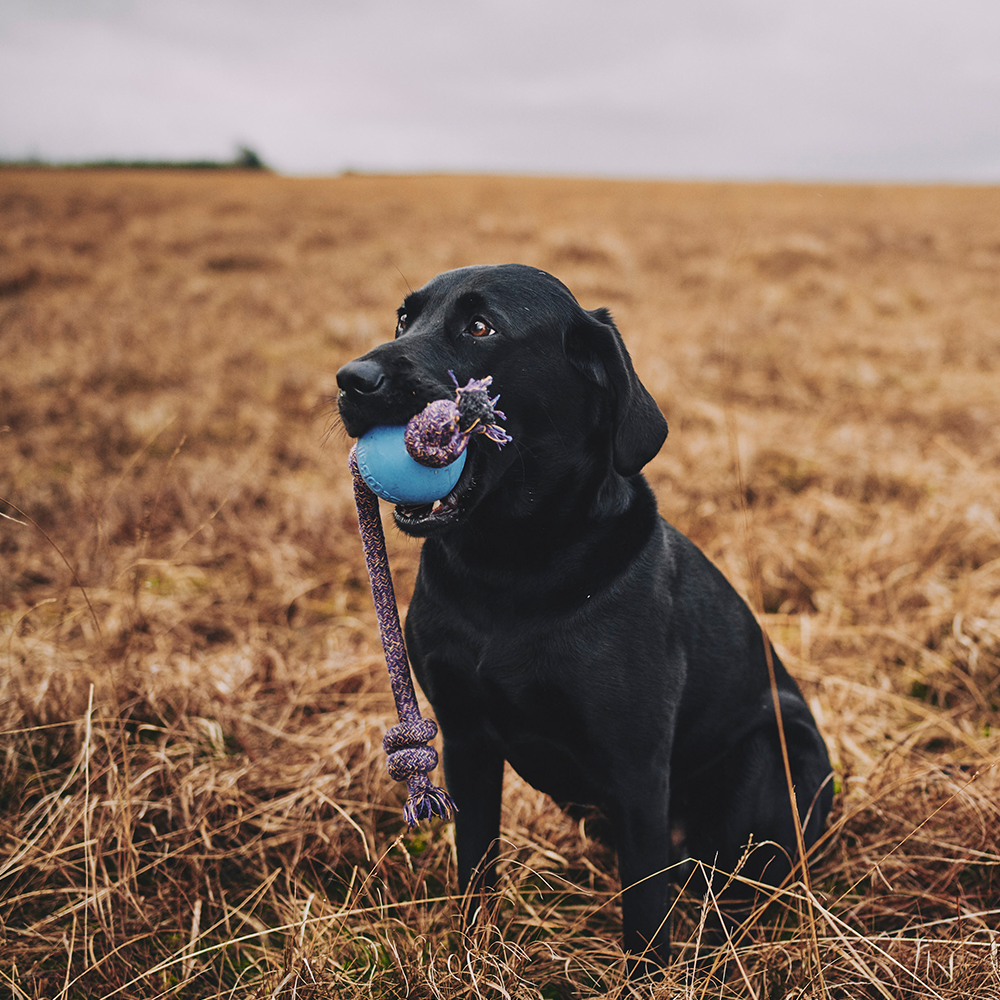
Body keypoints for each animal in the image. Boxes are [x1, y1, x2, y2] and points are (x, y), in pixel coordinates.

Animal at [338, 266, 836, 968]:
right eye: (404, 318)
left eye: (480, 327)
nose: (350, 380)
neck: (508, 570)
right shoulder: (465, 740)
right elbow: (475, 868)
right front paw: (471, 959)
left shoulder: (637, 769)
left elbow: (646, 913)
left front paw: (648, 977)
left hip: (771, 756)